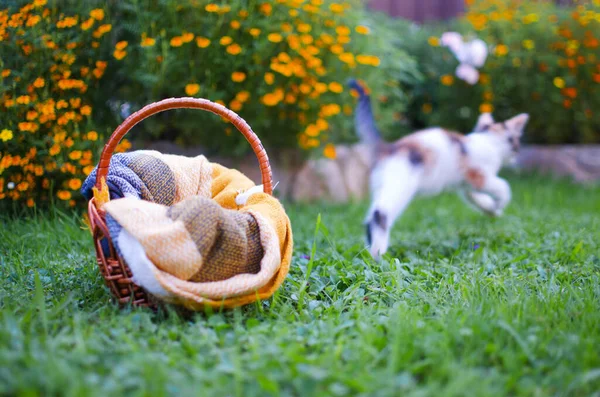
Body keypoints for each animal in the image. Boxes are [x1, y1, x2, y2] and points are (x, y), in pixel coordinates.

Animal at [346, 80, 528, 260]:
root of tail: (389, 148)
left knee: (369, 218)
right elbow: (503, 186)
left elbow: (476, 198)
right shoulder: (479, 176)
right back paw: (378, 254)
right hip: (400, 186)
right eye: (517, 143)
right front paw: (500, 203)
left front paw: (492, 210)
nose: (517, 156)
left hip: (382, 185)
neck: (488, 141)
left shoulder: (466, 185)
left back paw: (369, 252)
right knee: (379, 215)